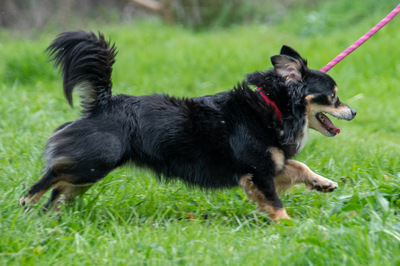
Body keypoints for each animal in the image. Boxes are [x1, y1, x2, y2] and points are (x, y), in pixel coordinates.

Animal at [19, 30, 356, 220]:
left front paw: (322, 183)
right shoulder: (258, 172)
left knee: (60, 190)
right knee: (53, 175)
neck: (274, 107)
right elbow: (274, 201)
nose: (353, 112)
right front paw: (288, 226)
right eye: (333, 97)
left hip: (89, 172)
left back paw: (49, 220)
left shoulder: (267, 166)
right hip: (95, 162)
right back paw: (26, 202)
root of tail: (104, 102)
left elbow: (299, 166)